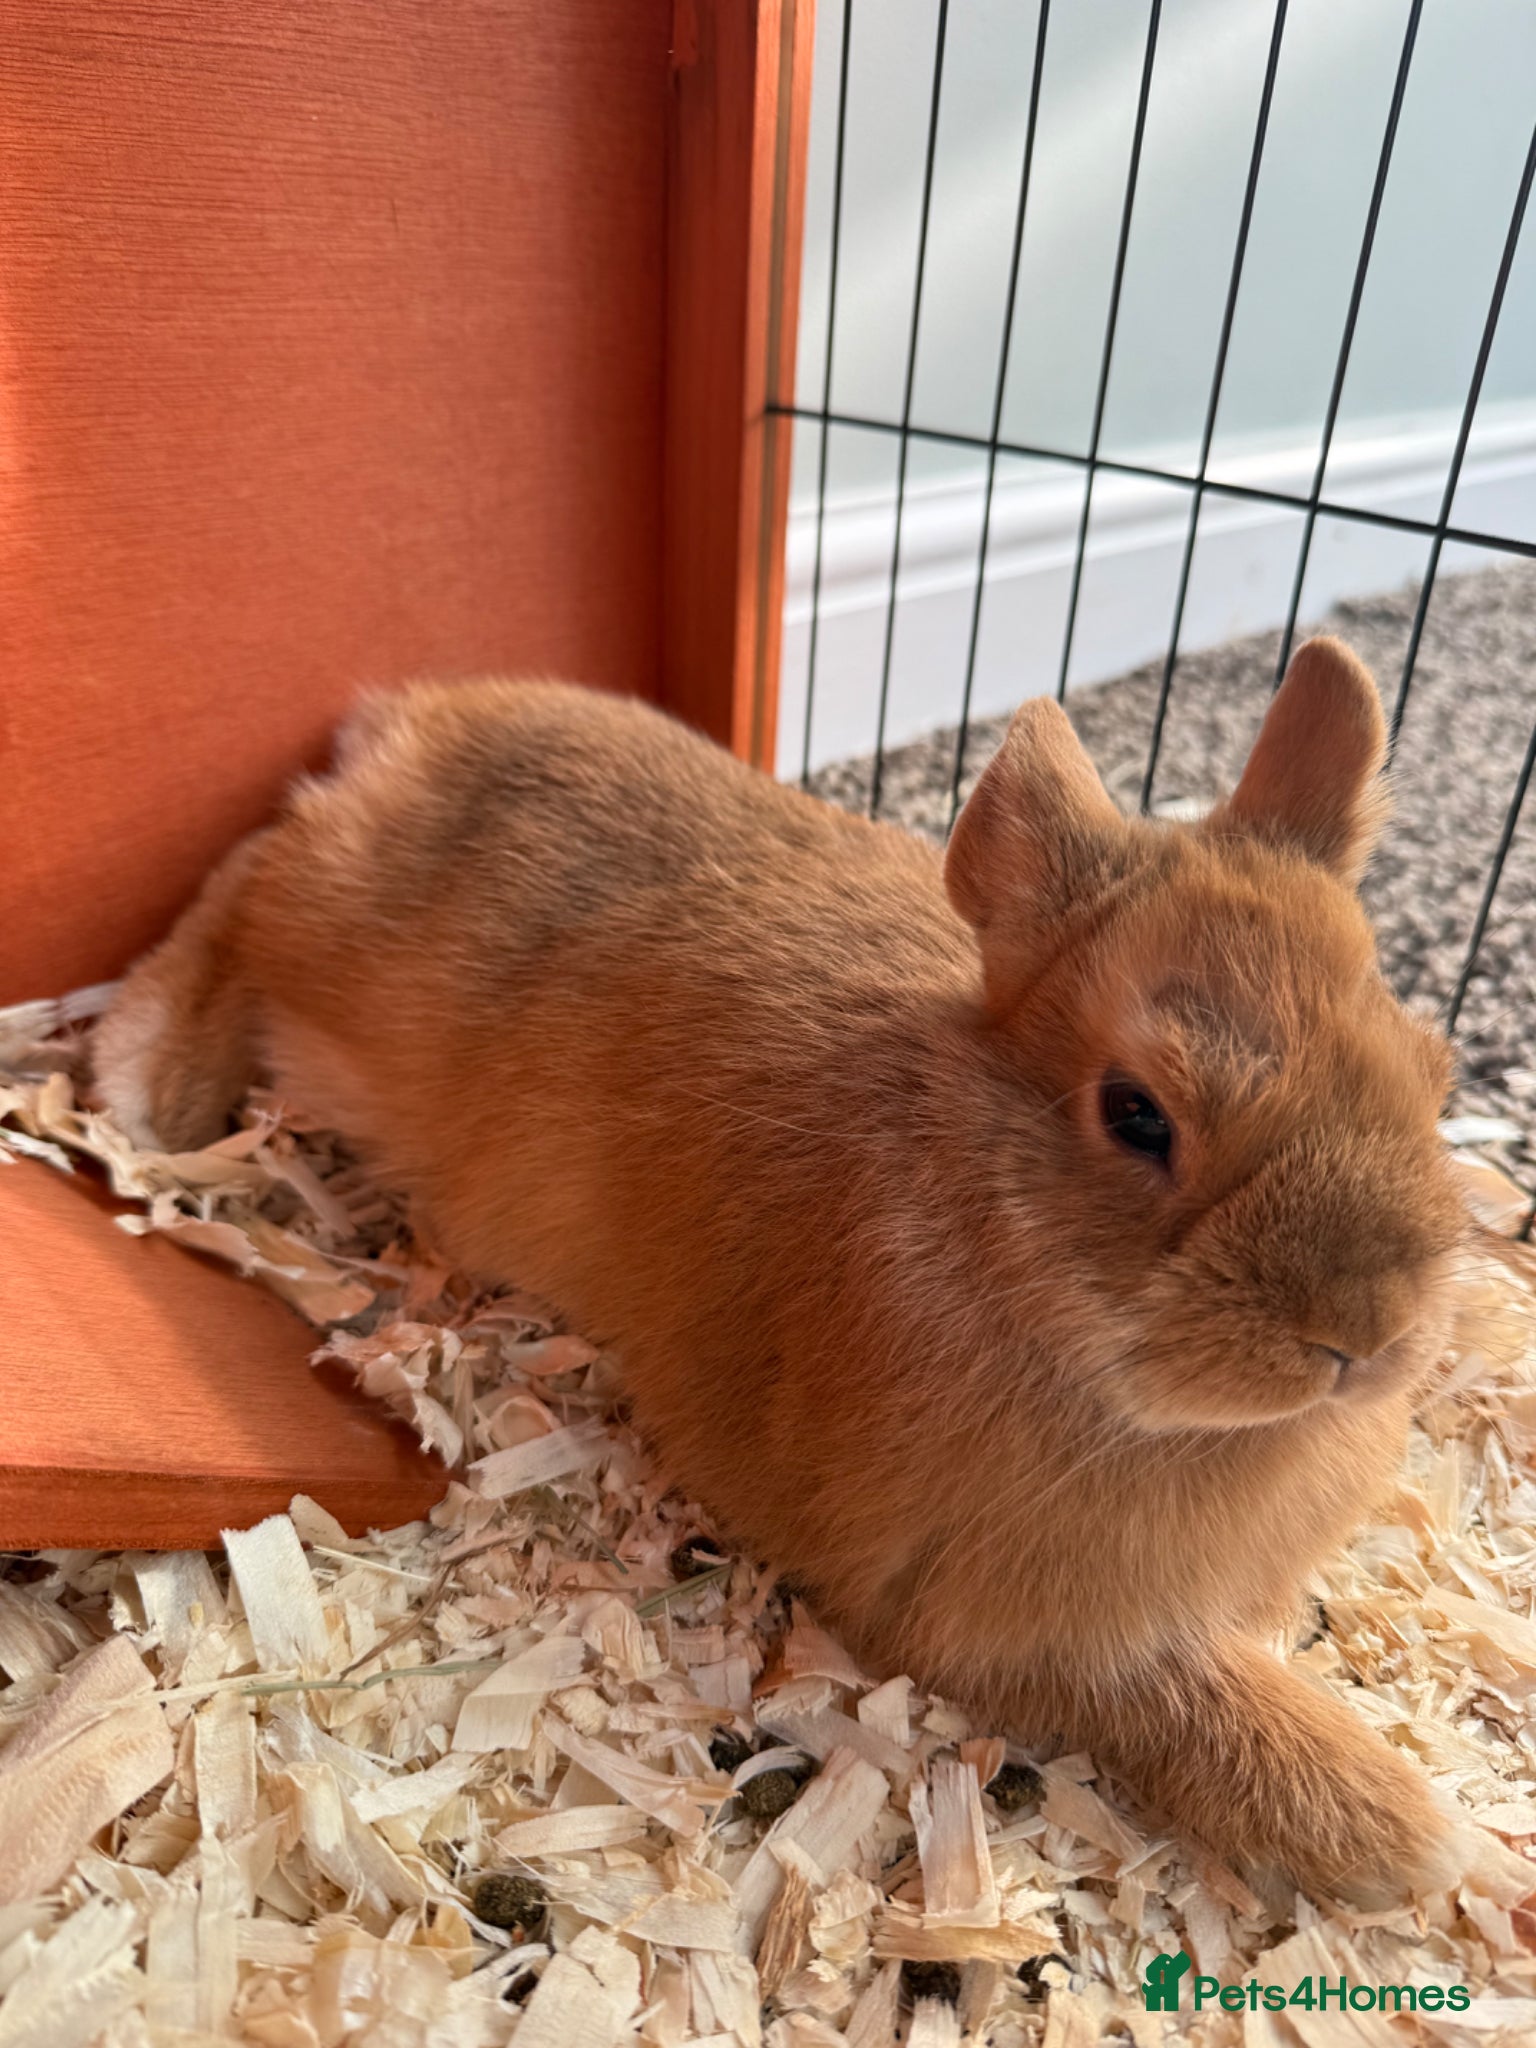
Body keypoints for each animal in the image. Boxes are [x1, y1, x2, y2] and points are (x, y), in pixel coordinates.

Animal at [95, 636, 1469, 1903]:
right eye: (1137, 1113)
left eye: (1429, 1066)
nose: (1363, 1333)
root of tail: (409, 724)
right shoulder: (981, 1617)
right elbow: (1191, 1702)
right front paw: (1410, 1832)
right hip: (327, 938)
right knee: (247, 884)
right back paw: (146, 1080)